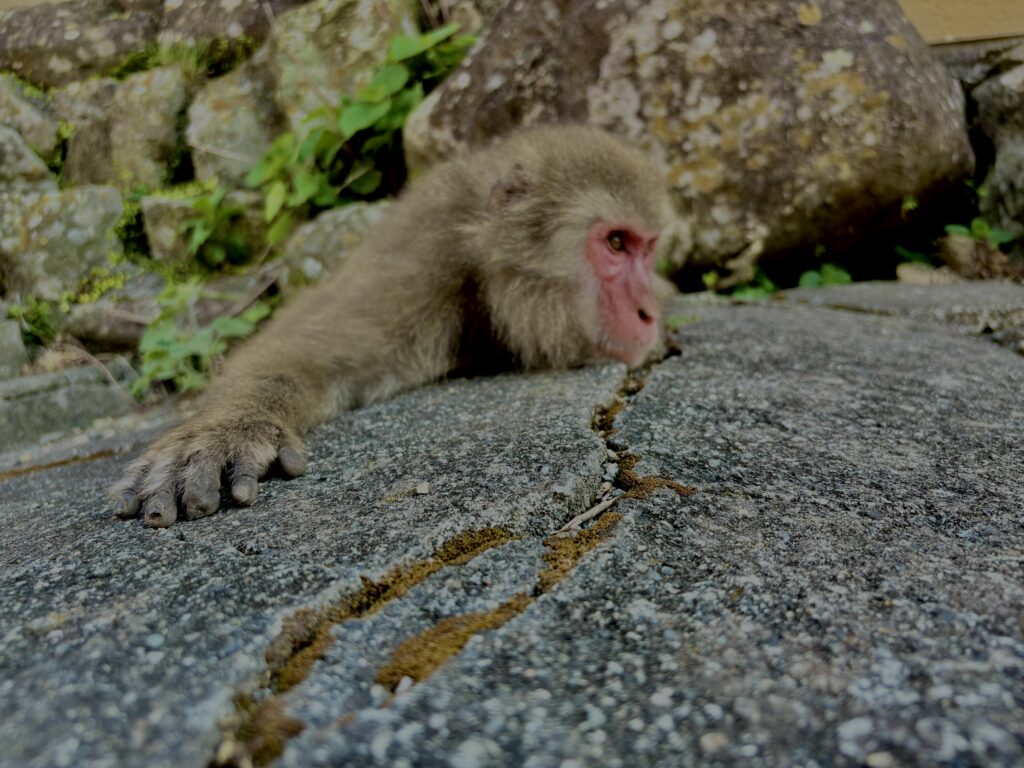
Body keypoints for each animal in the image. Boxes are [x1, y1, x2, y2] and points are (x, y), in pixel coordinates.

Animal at [110, 125, 672, 528]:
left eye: (647, 250)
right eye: (616, 243)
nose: (648, 312)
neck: (483, 269)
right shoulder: (421, 273)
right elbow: (307, 354)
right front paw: (227, 428)